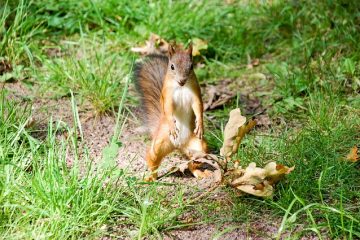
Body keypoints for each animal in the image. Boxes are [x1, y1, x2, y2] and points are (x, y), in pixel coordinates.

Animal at [134, 43, 207, 182]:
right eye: (172, 66)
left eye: (191, 66)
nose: (182, 80)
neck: (181, 87)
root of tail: (179, 145)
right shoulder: (167, 96)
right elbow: (168, 109)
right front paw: (173, 126)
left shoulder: (196, 93)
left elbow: (198, 107)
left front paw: (200, 124)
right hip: (159, 144)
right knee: (153, 159)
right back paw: (151, 177)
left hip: (199, 149)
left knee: (192, 164)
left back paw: (200, 173)